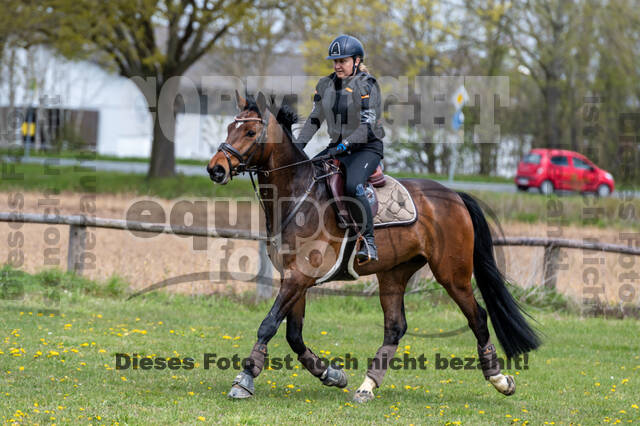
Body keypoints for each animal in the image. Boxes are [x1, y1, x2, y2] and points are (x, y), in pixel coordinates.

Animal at [206, 90, 540, 402]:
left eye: (250, 132)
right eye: (229, 128)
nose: (216, 169)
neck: (297, 196)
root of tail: (455, 195)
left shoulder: (299, 276)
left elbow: (269, 324)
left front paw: (244, 380)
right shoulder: (294, 277)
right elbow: (293, 335)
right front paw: (331, 374)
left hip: (451, 274)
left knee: (477, 317)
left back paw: (499, 379)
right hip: (393, 274)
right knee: (395, 327)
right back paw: (367, 386)